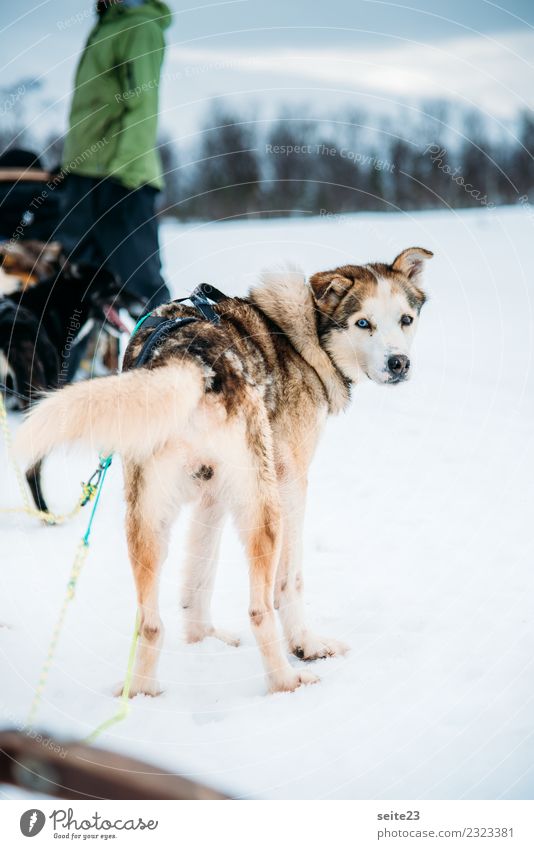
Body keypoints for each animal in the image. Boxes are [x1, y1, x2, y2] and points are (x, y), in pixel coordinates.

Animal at [16, 247, 434, 696]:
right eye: (363, 323)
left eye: (405, 319)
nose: (399, 363)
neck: (302, 336)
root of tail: (188, 360)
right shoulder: (290, 483)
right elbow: (289, 582)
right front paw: (306, 644)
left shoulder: (211, 494)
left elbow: (199, 575)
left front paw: (203, 640)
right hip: (263, 509)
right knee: (259, 608)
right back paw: (286, 680)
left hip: (148, 521)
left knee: (150, 623)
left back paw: (141, 692)